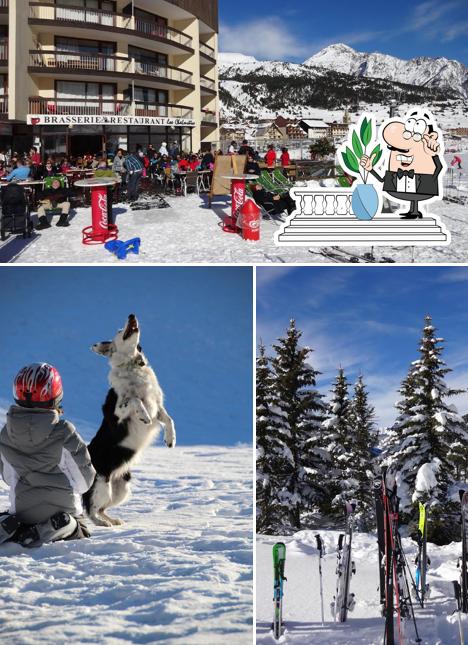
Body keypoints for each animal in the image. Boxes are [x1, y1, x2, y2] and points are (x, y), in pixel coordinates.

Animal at [83, 314, 176, 524]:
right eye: (119, 330)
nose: (131, 315)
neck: (132, 366)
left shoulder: (157, 406)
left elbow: (169, 419)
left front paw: (170, 439)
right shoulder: (116, 413)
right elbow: (134, 400)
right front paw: (143, 416)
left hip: (122, 488)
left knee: (101, 508)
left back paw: (113, 521)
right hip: (101, 483)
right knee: (90, 509)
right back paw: (102, 524)